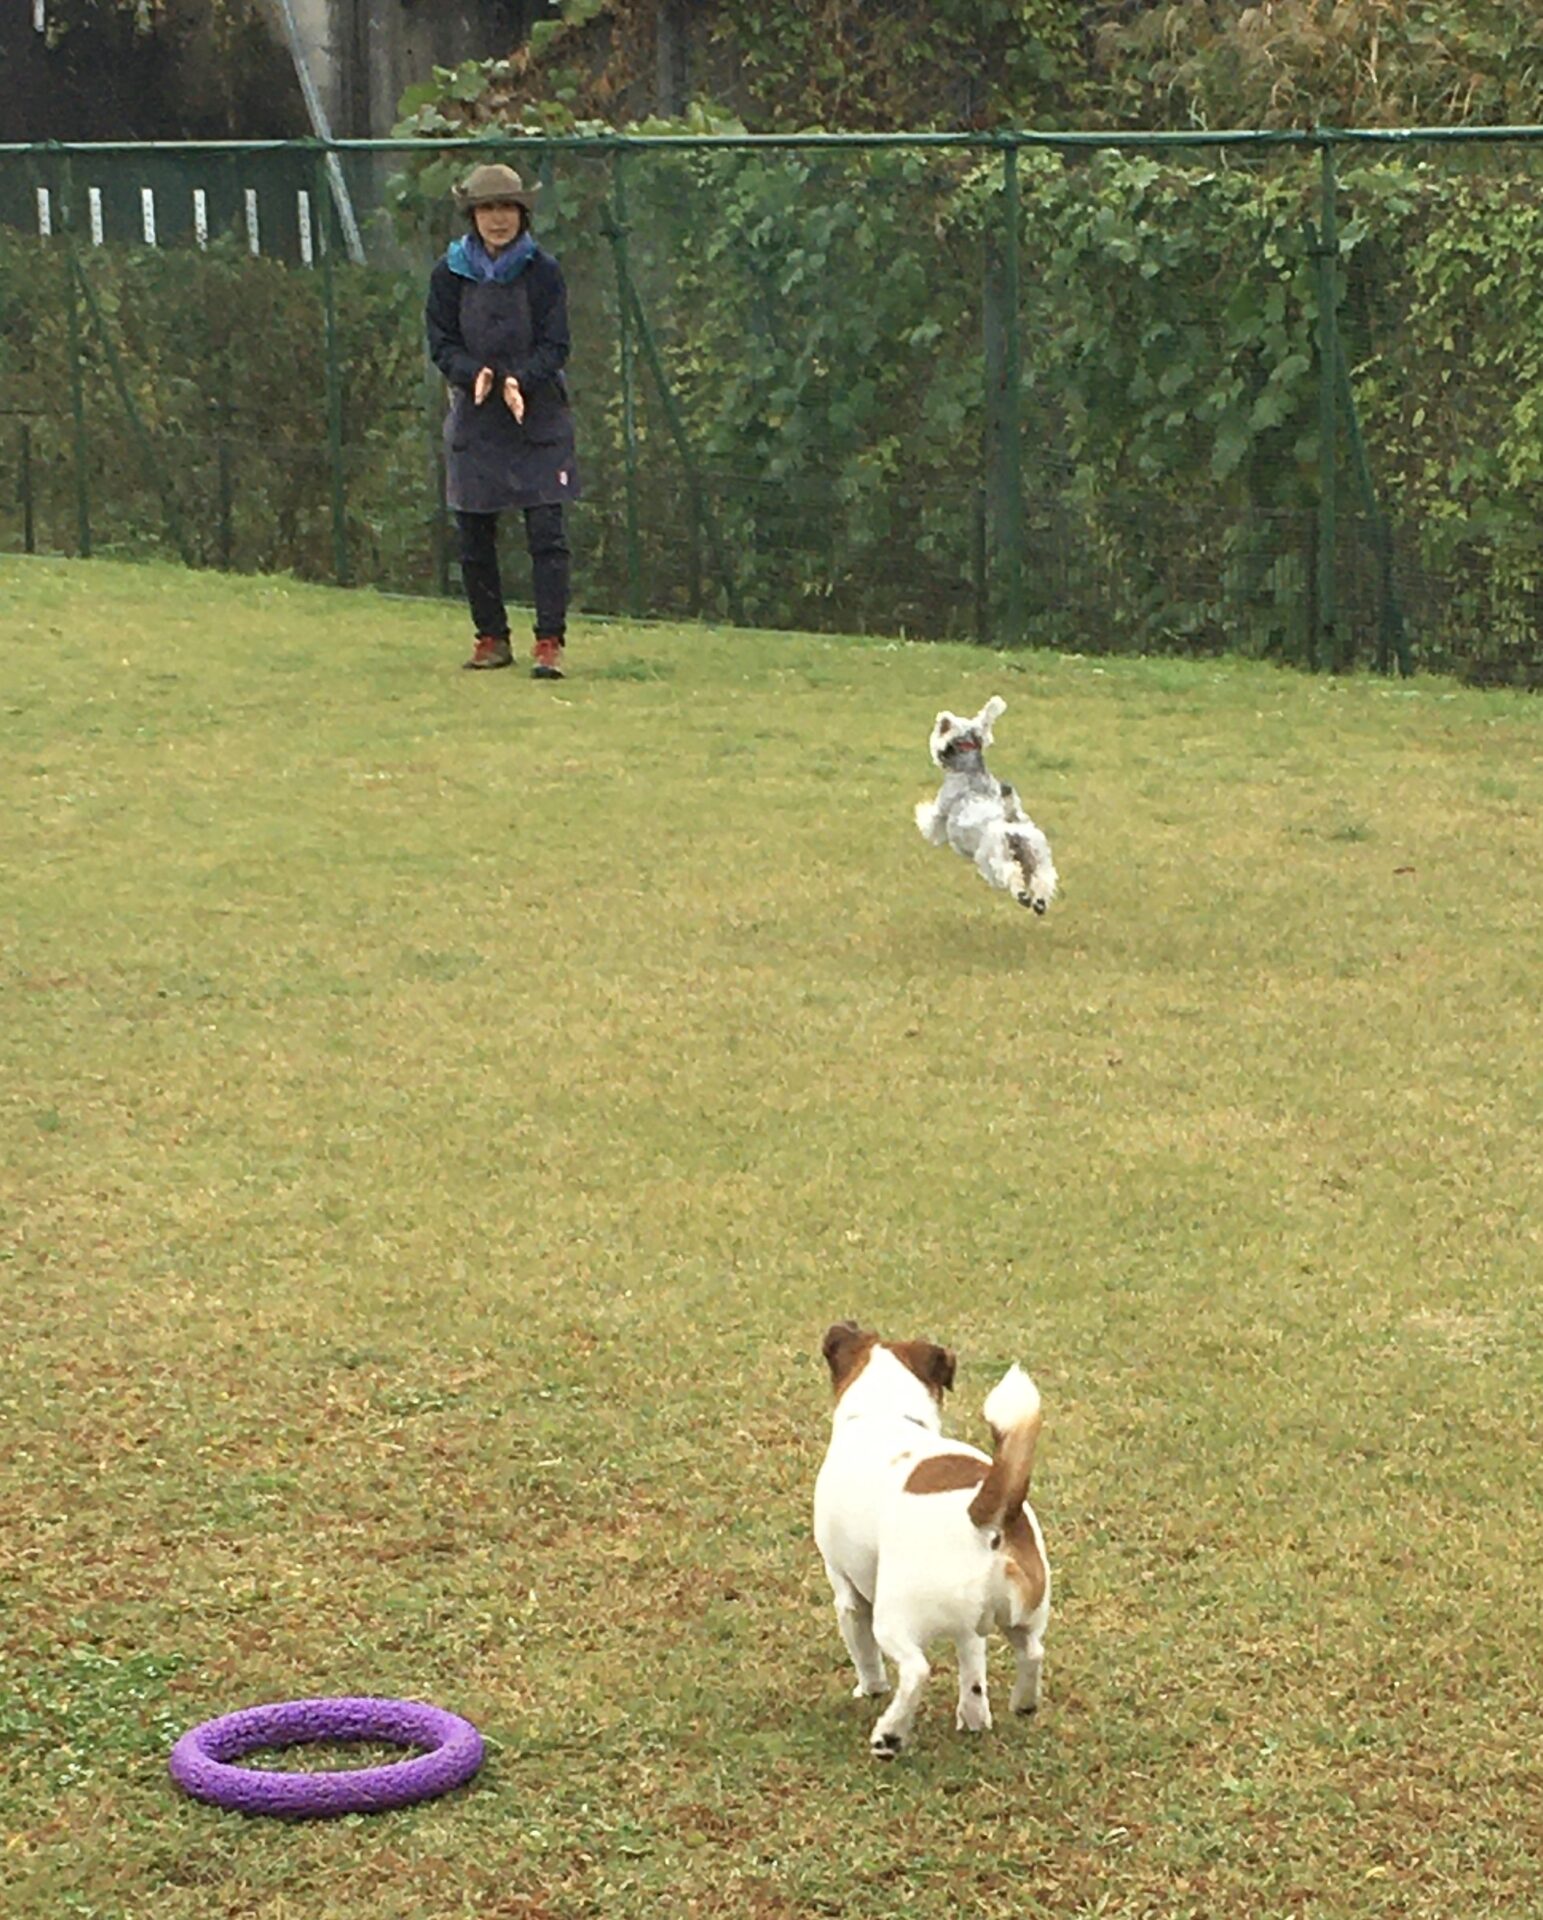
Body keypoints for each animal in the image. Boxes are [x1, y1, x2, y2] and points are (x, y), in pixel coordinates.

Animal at [812, 1321, 1050, 1758]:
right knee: (1032, 1651)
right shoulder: (970, 1632)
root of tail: (981, 1515)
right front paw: (974, 1716)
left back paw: (889, 1735)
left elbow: (864, 1654)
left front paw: (870, 1689)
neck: (885, 1412)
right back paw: (1022, 1703)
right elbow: (973, 1673)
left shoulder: (846, 1591)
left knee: (915, 1671)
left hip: (893, 1617)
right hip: (1020, 1612)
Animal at [914, 695, 1058, 913]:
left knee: (1011, 873)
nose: (939, 757)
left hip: (996, 857)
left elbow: (930, 820)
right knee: (1043, 880)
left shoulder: (940, 811)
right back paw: (1039, 902)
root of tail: (1011, 822)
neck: (971, 773)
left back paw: (1023, 896)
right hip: (1037, 856)